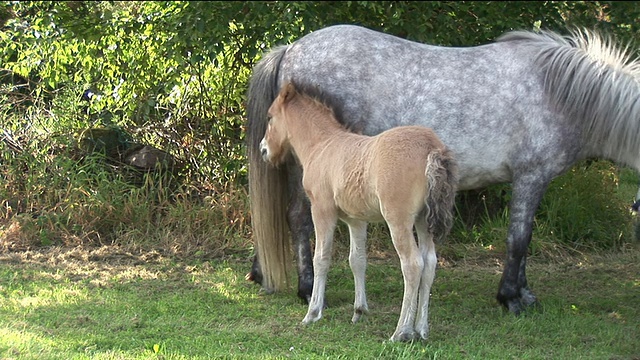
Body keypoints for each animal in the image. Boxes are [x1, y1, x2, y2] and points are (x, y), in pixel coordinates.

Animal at [245, 23, 640, 314]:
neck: (557, 92)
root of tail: (292, 49)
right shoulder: (531, 177)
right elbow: (519, 239)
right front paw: (511, 298)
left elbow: (522, 241)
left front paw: (523, 293)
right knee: (298, 218)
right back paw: (307, 288)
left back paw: (261, 272)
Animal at [258, 82, 458, 344]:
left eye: (270, 117)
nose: (263, 150)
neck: (321, 146)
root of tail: (430, 146)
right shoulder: (356, 220)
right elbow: (357, 260)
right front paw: (359, 311)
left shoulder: (322, 210)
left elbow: (321, 258)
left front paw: (312, 312)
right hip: (423, 220)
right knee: (430, 263)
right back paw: (422, 329)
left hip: (399, 220)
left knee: (412, 264)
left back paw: (401, 332)